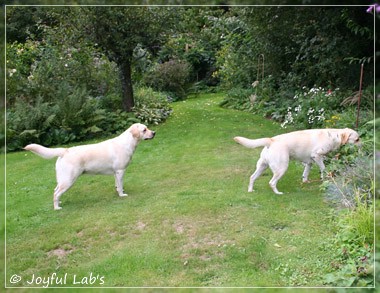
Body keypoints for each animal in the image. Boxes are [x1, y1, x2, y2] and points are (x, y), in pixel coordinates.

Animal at [24, 122, 154, 209]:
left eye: (147, 128)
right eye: (144, 130)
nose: (154, 133)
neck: (128, 143)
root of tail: (65, 150)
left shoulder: (115, 172)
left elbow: (117, 184)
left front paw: (118, 191)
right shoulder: (120, 170)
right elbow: (120, 185)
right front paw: (122, 195)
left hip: (62, 179)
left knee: (56, 190)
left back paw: (59, 202)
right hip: (69, 179)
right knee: (56, 193)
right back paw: (57, 207)